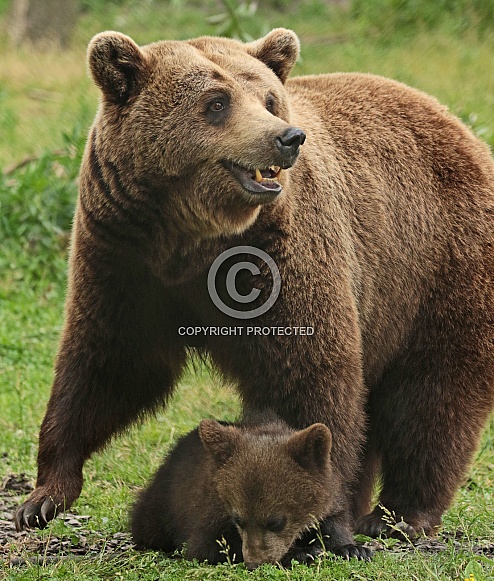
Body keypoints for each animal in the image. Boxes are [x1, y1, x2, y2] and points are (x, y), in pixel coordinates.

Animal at [15, 28, 494, 556]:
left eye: (269, 99)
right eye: (216, 101)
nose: (288, 138)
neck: (192, 240)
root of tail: (459, 126)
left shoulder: (281, 259)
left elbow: (311, 378)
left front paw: (327, 522)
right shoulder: (123, 255)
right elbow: (111, 362)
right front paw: (42, 497)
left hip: (438, 266)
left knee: (432, 396)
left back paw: (399, 515)